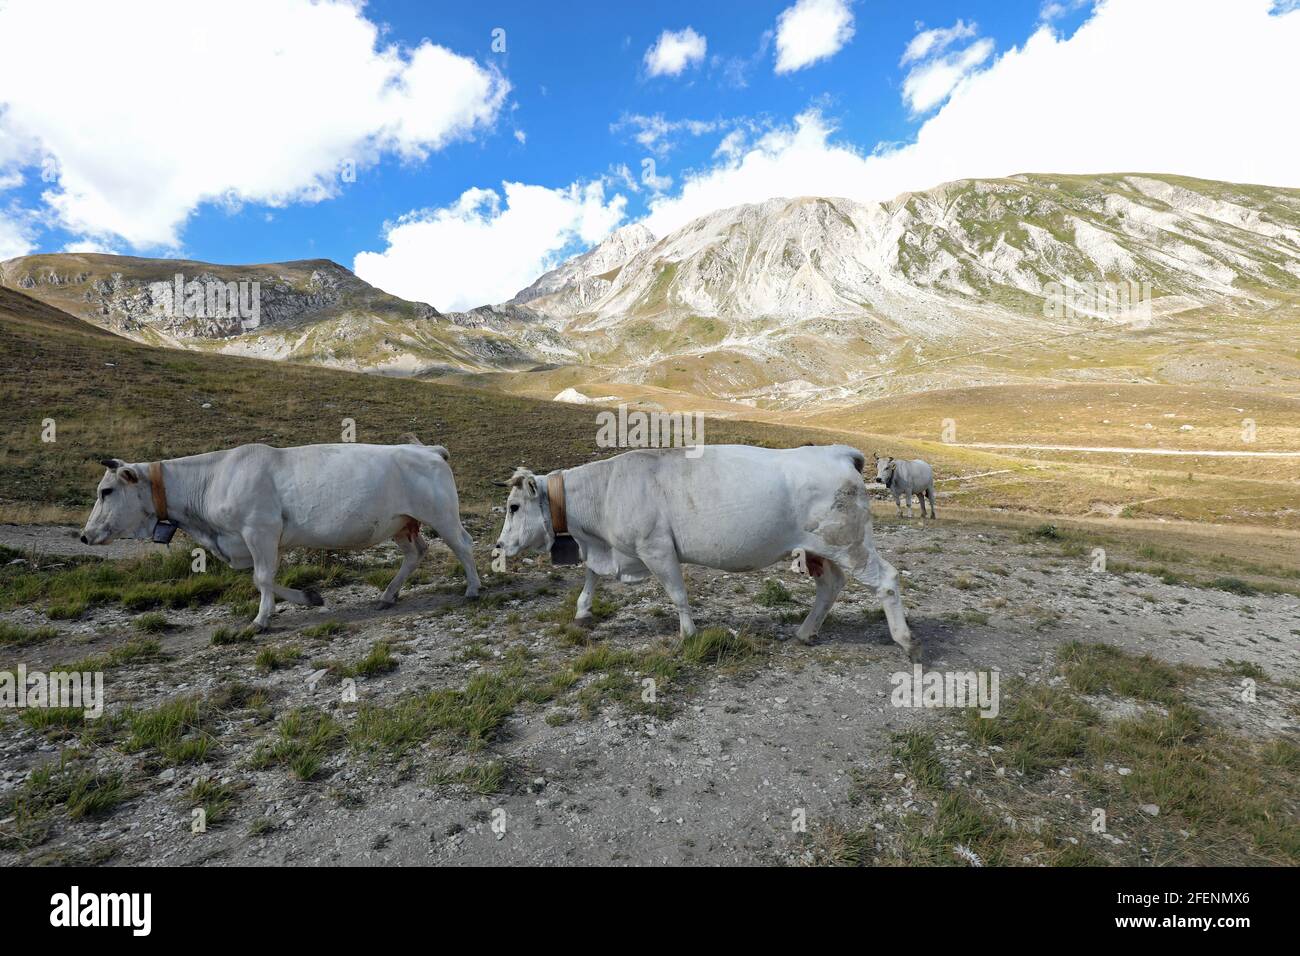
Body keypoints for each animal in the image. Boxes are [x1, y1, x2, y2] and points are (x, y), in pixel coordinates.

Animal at [79, 436, 480, 630]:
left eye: (106, 491)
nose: (84, 536)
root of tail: (428, 449)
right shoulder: (258, 540)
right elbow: (266, 578)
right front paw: (309, 597)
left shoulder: (259, 530)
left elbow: (261, 578)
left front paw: (261, 620)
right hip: (401, 523)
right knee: (416, 553)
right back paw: (387, 596)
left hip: (441, 513)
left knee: (462, 545)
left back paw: (473, 589)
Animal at [493, 444, 920, 662]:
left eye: (513, 507)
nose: (498, 546)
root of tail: (837, 453)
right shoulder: (616, 550)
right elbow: (591, 577)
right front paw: (582, 612)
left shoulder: (656, 548)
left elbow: (677, 593)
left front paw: (688, 634)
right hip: (824, 549)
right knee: (831, 586)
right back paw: (804, 632)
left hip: (850, 542)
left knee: (886, 579)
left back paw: (904, 640)